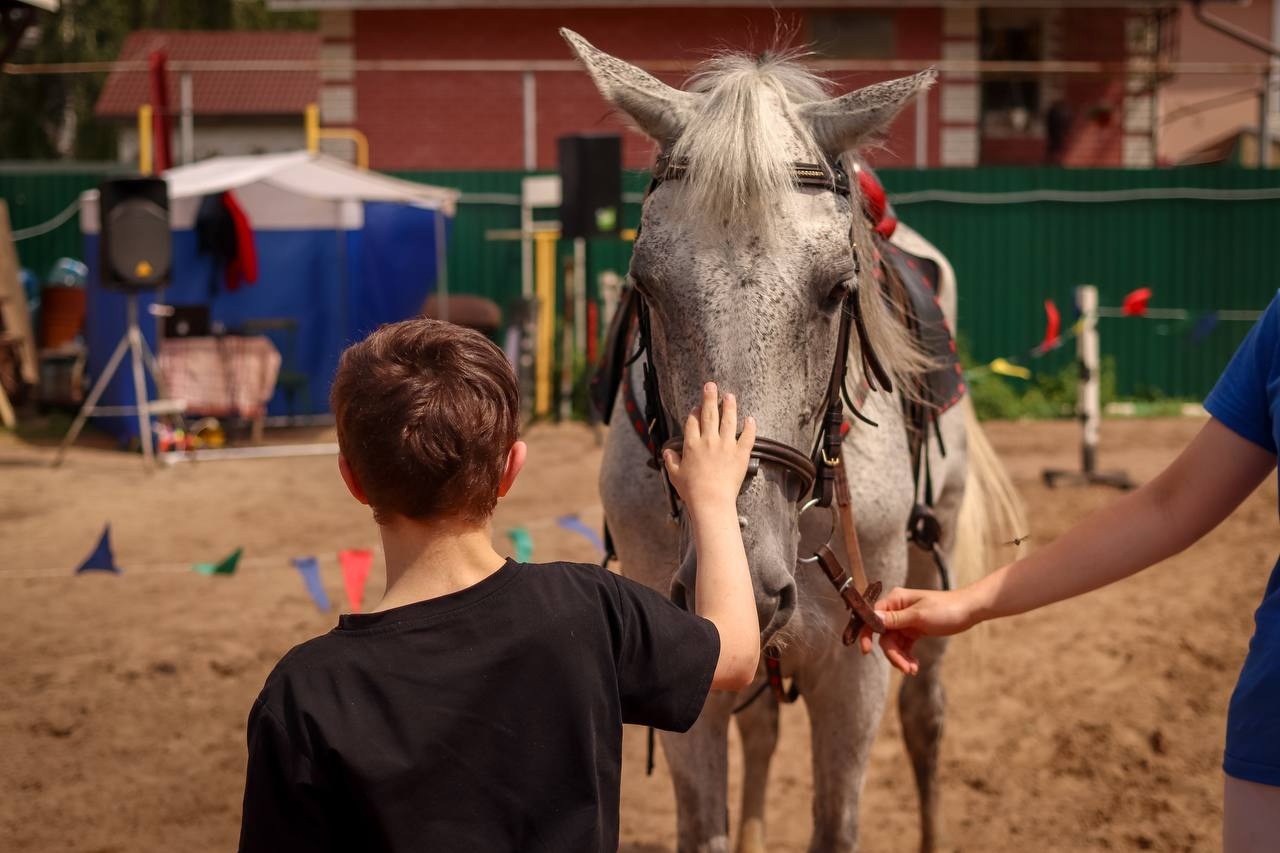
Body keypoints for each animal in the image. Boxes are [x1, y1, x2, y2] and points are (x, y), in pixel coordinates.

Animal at [565, 29, 1024, 850]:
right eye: (644, 287)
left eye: (839, 289)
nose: (745, 575)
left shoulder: (855, 675)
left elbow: (835, 820)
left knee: (926, 719)